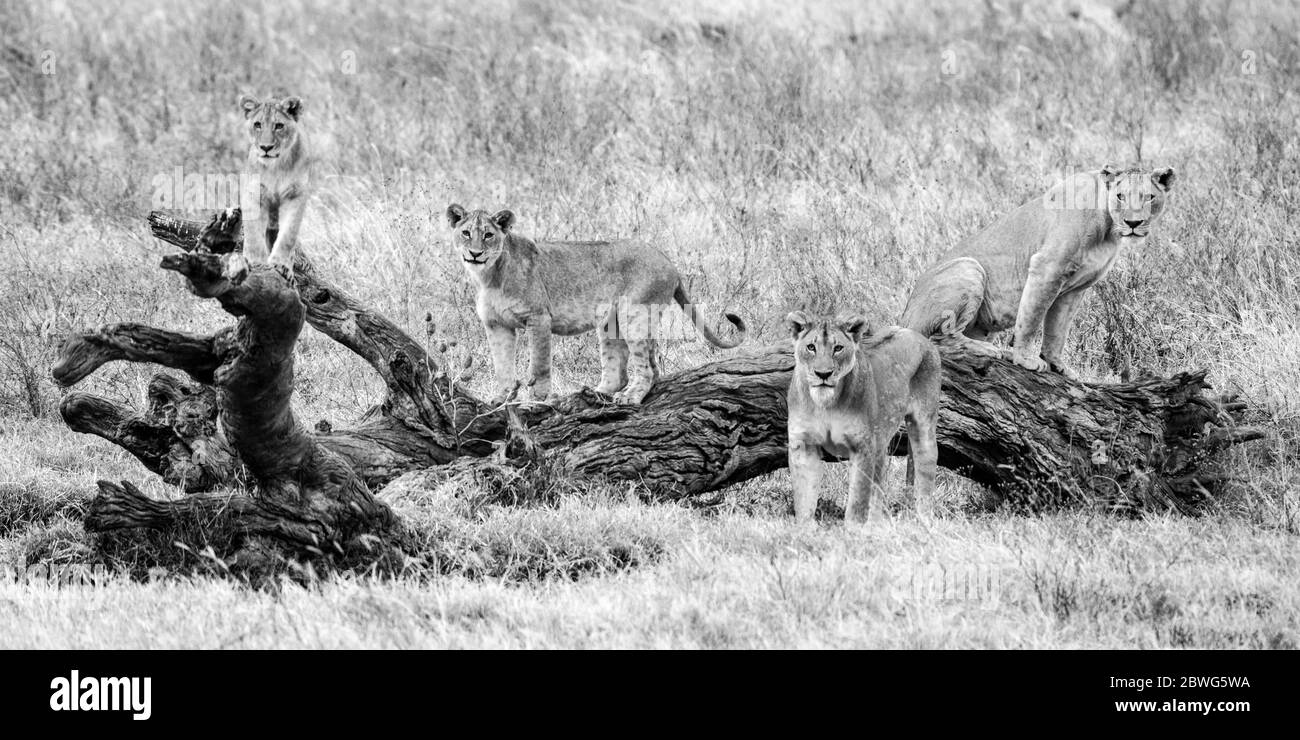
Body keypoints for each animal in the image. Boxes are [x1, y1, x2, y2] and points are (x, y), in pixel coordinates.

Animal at [230, 94, 313, 279]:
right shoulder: (254, 194)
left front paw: (281, 265)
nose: (266, 147)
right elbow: (254, 234)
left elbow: (288, 235)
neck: (276, 167)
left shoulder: (295, 196)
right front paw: (256, 262)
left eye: (279, 126)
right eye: (257, 124)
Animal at [449, 202, 748, 403]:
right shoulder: (497, 325)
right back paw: (596, 393)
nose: (475, 254)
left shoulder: (538, 318)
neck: (489, 277)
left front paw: (538, 401)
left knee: (649, 369)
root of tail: (669, 263)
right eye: (466, 233)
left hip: (634, 315)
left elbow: (539, 365)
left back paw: (629, 398)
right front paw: (499, 399)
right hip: (610, 323)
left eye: (488, 235)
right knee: (622, 372)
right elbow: (501, 365)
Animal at [780, 310, 935, 520]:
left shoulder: (861, 447)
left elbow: (857, 503)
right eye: (811, 347)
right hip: (880, 444)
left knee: (925, 474)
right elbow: (804, 501)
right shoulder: (803, 445)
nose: (823, 374)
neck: (826, 404)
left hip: (923, 427)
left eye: (838, 348)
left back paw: (925, 520)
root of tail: (916, 334)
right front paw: (804, 526)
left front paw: (853, 528)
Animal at [899, 165, 1175, 377]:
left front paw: (1057, 365)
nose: (1133, 223)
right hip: (969, 268)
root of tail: (904, 318)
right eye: (1120, 196)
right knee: (938, 340)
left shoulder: (1075, 288)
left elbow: (1058, 330)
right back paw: (990, 350)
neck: (1108, 229)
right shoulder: (1046, 268)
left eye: (1149, 197)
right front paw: (1025, 359)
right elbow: (1031, 319)